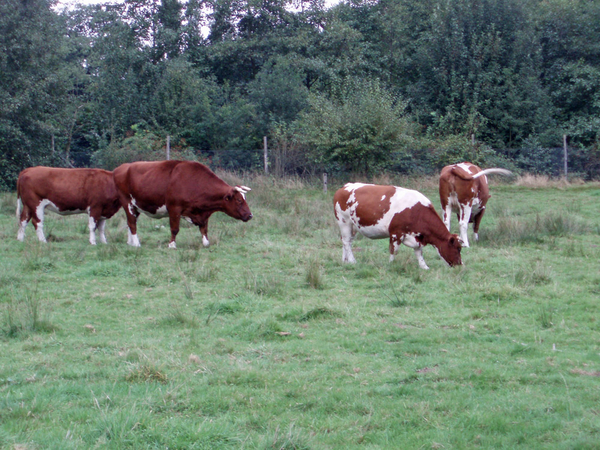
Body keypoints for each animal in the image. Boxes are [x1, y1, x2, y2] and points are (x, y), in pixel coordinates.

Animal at [112, 160, 253, 248]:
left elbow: (204, 228)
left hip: (135, 206)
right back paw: (136, 243)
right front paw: (172, 245)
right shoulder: (174, 208)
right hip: (127, 203)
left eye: (245, 198)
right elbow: (175, 229)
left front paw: (206, 243)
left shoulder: (202, 213)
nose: (250, 215)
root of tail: (122, 167)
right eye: (239, 200)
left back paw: (130, 242)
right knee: (132, 223)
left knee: (131, 223)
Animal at [332, 182, 464, 268]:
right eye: (458, 248)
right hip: (344, 221)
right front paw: (391, 264)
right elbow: (394, 250)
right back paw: (352, 261)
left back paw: (345, 261)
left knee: (346, 241)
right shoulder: (396, 233)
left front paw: (424, 266)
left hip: (353, 226)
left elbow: (419, 252)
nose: (460, 265)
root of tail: (344, 187)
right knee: (346, 242)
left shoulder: (417, 235)